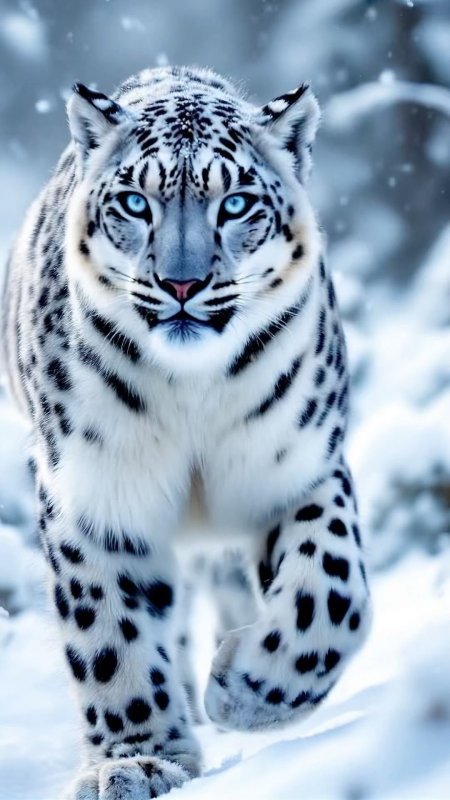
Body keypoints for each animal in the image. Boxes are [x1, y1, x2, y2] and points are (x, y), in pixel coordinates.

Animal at [2, 65, 372, 799]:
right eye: (134, 203)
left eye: (236, 204)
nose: (181, 282)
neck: (191, 392)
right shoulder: (95, 493)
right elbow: (109, 631)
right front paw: (138, 759)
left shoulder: (298, 470)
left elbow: (332, 590)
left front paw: (246, 688)